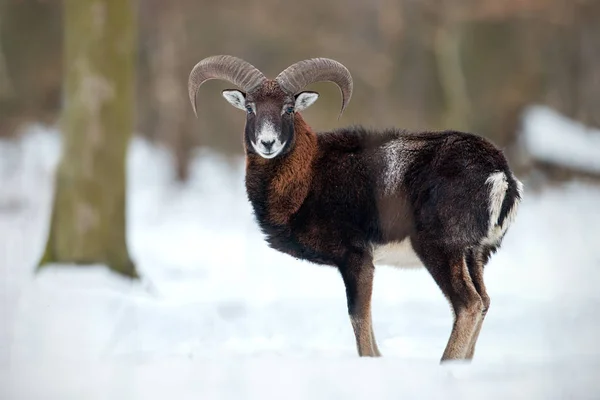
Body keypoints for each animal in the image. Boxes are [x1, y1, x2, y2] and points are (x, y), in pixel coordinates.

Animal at [186, 55, 520, 360]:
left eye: (289, 108)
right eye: (250, 107)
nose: (268, 143)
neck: (309, 176)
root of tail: (499, 174)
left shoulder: (355, 258)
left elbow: (359, 318)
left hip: (440, 250)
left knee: (468, 304)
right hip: (474, 256)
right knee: (484, 302)